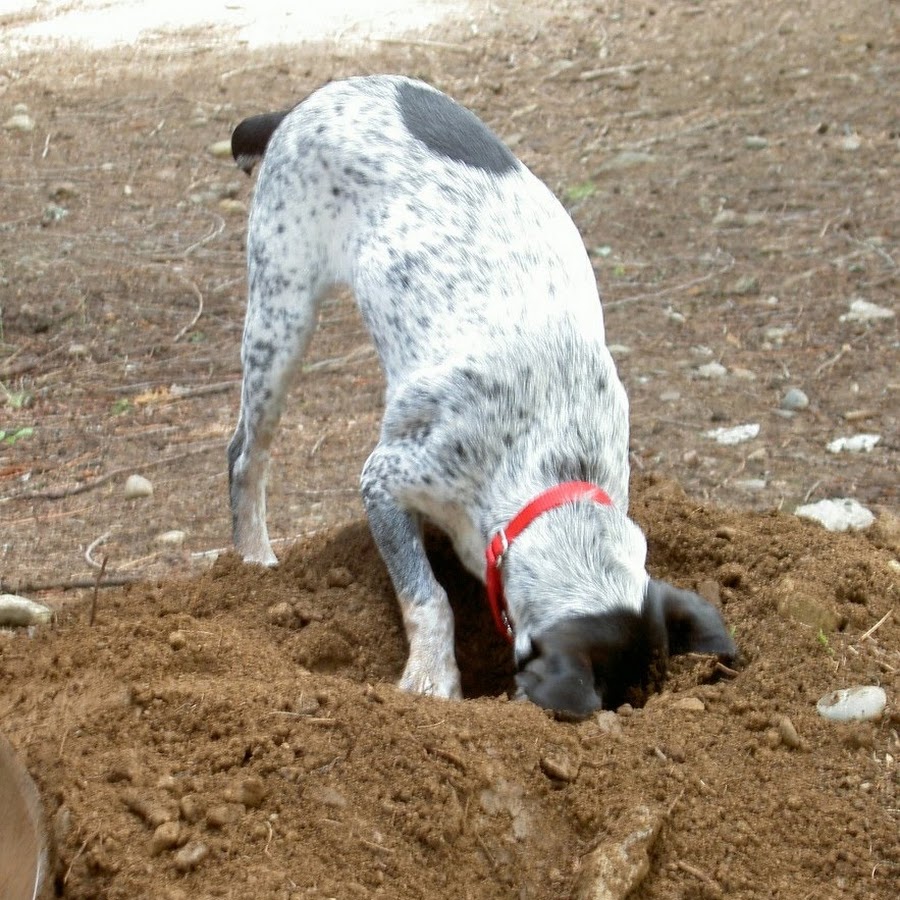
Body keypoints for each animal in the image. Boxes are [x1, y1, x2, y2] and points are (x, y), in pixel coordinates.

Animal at [227, 74, 740, 716]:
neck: (551, 464)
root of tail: (302, 103)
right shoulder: (382, 479)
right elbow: (428, 598)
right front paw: (431, 679)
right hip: (282, 311)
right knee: (245, 454)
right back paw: (253, 560)